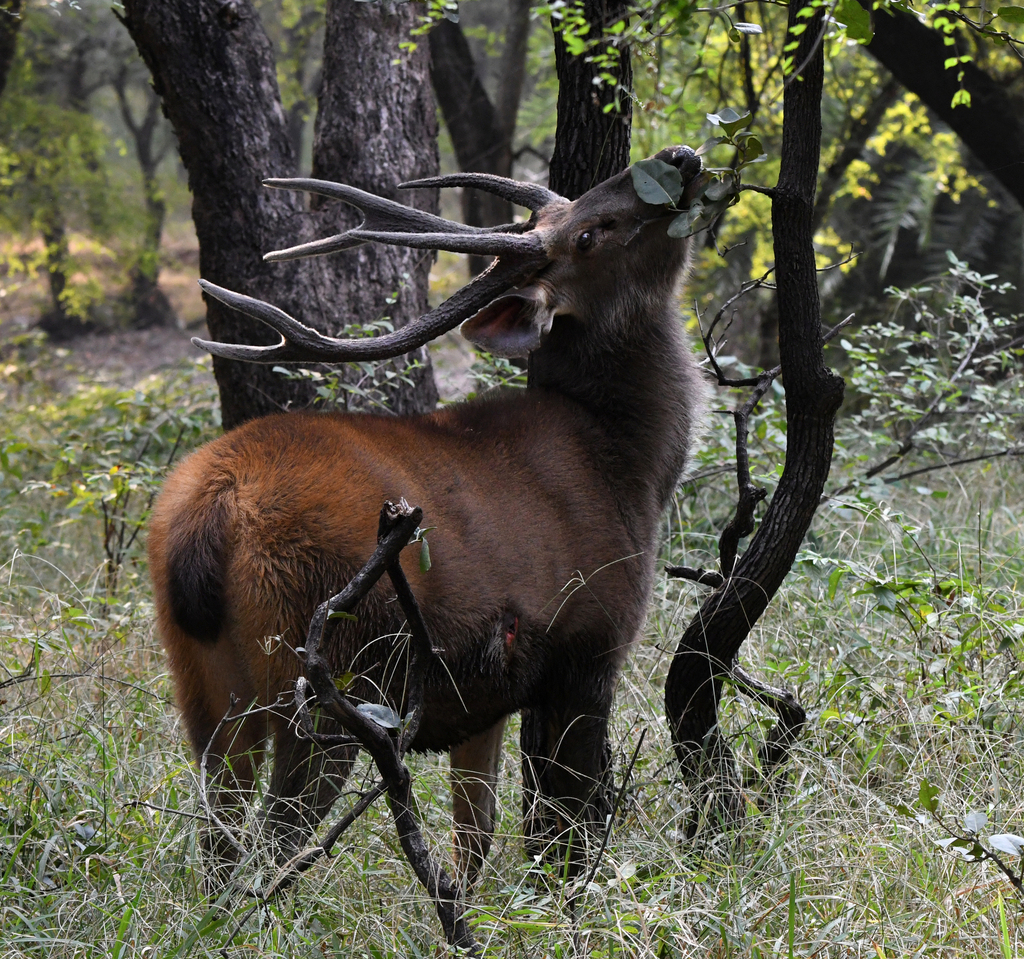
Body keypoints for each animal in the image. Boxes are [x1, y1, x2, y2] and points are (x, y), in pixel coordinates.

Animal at [147, 145, 708, 888]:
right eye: (592, 233)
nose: (679, 155)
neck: (628, 464)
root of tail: (212, 508)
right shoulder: (588, 643)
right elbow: (573, 826)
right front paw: (567, 898)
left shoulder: (489, 693)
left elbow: (477, 833)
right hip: (328, 680)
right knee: (272, 844)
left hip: (204, 687)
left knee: (218, 838)